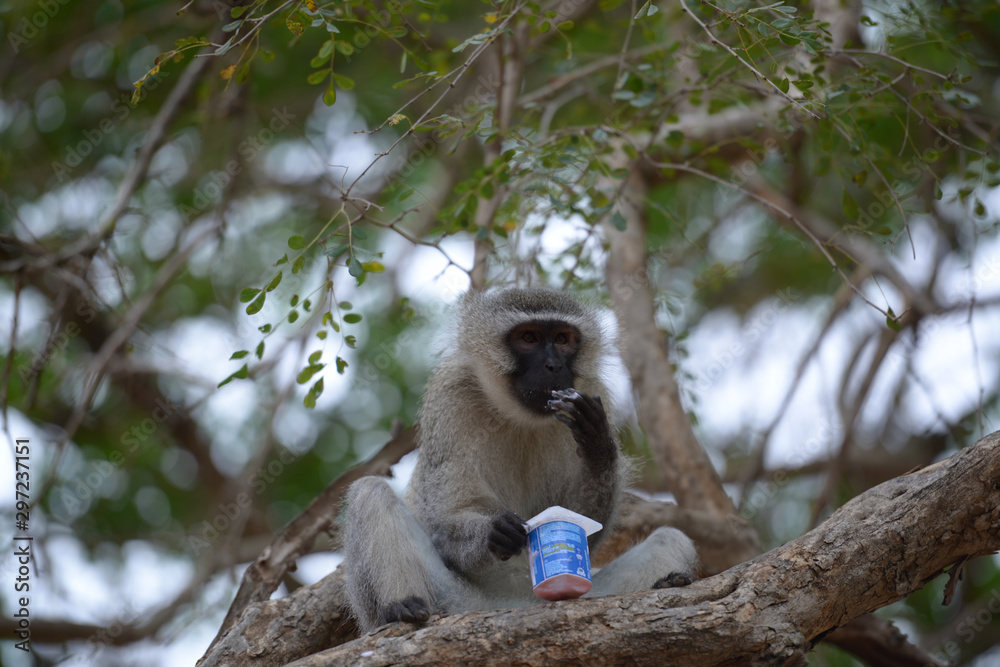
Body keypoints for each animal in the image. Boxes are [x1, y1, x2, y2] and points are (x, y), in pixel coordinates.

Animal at [342, 288, 698, 633]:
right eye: (528, 338)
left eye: (562, 339)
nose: (554, 366)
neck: (518, 417)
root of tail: (516, 604)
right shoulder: (450, 394)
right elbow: (446, 517)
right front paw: (495, 532)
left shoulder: (596, 395)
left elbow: (582, 528)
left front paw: (597, 444)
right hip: (455, 602)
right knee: (369, 492)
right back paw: (400, 610)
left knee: (671, 539)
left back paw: (670, 582)